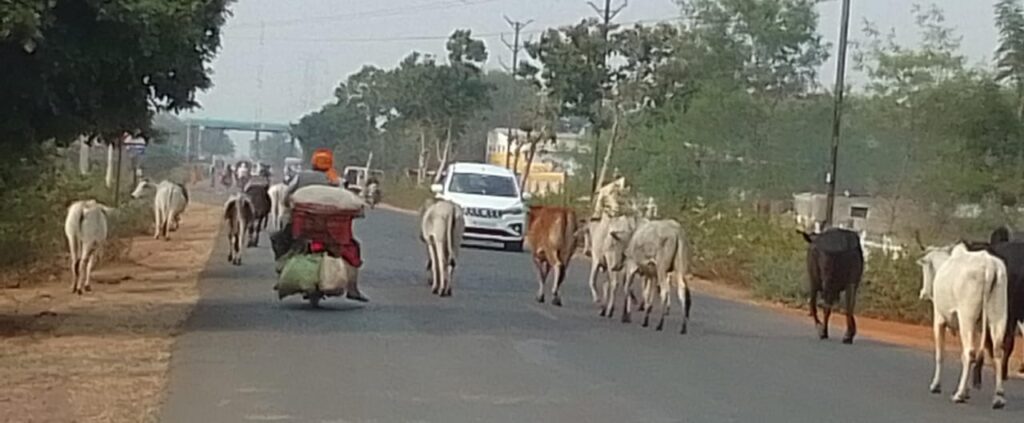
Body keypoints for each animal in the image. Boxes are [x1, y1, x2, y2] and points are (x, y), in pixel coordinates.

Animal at [917, 243, 1011, 409]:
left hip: (966, 318)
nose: (923, 293)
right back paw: (998, 397)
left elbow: (940, 354)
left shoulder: (939, 319)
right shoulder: (975, 328)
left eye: (925, 268)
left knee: (970, 352)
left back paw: (959, 394)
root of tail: (989, 264)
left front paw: (936, 385)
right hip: (997, 317)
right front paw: (967, 391)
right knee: (997, 351)